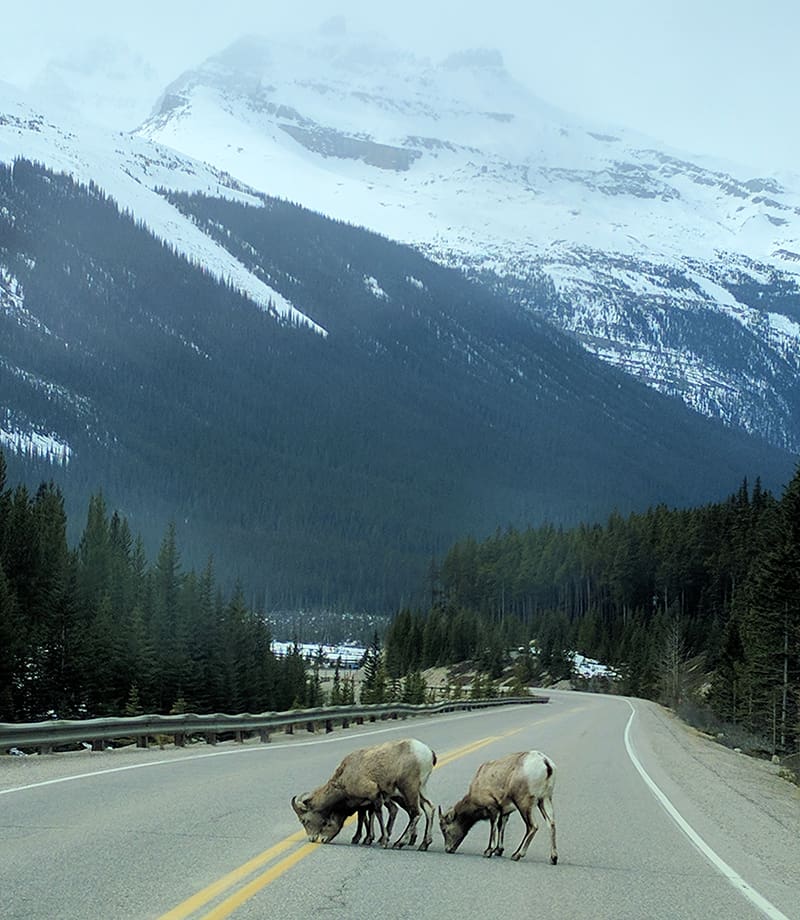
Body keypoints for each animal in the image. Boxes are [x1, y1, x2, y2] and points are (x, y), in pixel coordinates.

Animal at [290, 736, 434, 852]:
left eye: (304, 820)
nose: (315, 839)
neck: (345, 776)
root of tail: (428, 753)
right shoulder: (363, 802)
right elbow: (364, 817)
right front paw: (365, 839)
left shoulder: (374, 796)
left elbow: (377, 815)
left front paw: (383, 841)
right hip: (420, 790)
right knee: (429, 809)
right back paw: (424, 845)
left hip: (409, 790)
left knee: (415, 813)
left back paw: (399, 843)